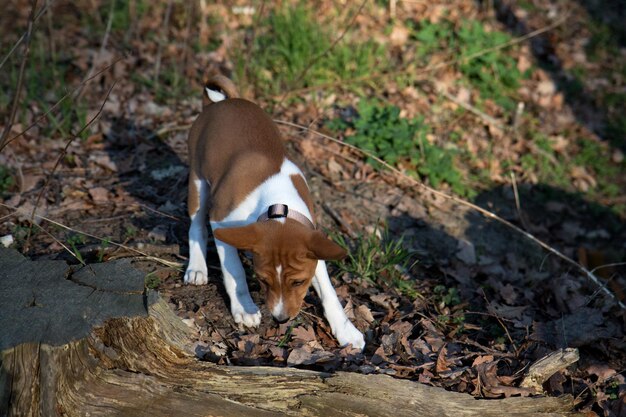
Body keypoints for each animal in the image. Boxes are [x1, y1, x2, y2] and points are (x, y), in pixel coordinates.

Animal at [183, 74, 364, 348]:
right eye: (263, 280)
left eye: (299, 282)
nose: (281, 319)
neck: (277, 205)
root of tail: (223, 102)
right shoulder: (221, 223)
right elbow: (234, 272)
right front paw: (245, 308)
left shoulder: (313, 240)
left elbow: (329, 292)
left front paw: (347, 331)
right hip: (199, 181)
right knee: (196, 226)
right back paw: (197, 268)